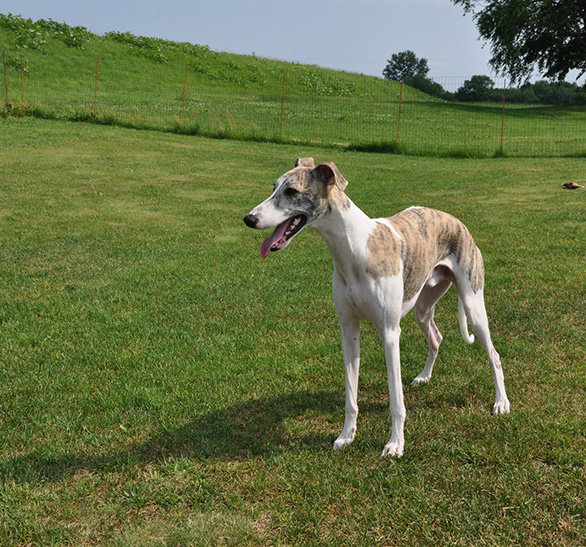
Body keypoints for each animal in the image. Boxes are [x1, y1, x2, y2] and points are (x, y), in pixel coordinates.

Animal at [242, 158, 506, 458]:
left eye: (291, 191)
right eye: (274, 187)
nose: (249, 219)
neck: (354, 248)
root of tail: (456, 221)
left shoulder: (390, 333)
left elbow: (396, 400)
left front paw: (395, 444)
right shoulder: (348, 332)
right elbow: (351, 395)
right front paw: (346, 436)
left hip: (473, 305)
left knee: (494, 355)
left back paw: (501, 403)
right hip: (422, 307)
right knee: (437, 337)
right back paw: (424, 377)